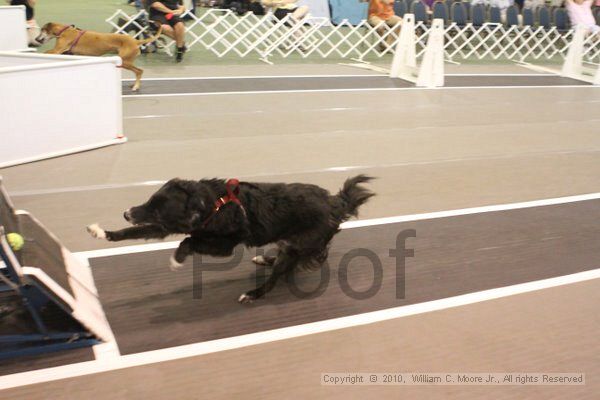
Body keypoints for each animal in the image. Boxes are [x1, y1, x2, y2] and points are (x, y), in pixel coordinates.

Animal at [86, 176, 372, 304]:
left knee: (277, 276)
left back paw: (254, 292)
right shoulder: (169, 227)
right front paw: (102, 232)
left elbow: (187, 242)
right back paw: (265, 258)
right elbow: (130, 233)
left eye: (157, 209)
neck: (212, 205)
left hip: (298, 246)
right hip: (288, 244)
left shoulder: (222, 245)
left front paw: (177, 260)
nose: (126, 213)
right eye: (149, 200)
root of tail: (335, 203)